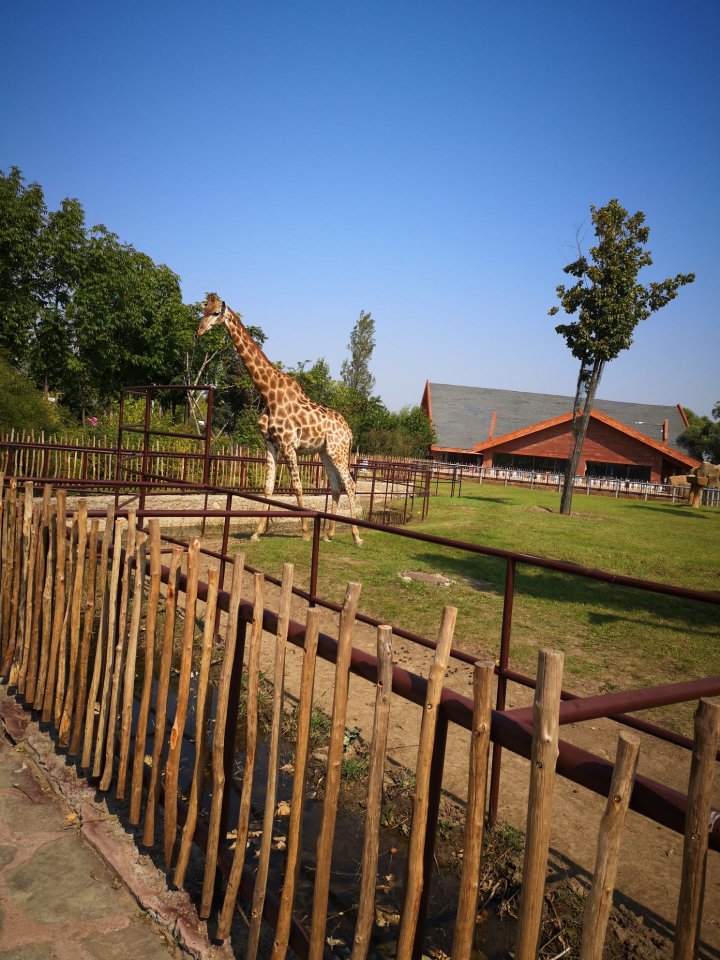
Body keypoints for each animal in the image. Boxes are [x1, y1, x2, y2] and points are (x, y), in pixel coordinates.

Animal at [197, 290, 362, 548]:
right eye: (202, 311)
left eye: (215, 313)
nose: (200, 330)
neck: (268, 393)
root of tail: (349, 430)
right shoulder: (270, 444)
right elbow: (268, 487)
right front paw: (257, 532)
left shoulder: (288, 445)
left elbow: (297, 487)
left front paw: (305, 532)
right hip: (325, 452)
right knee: (336, 486)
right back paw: (328, 534)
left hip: (338, 450)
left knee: (350, 484)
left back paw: (356, 536)